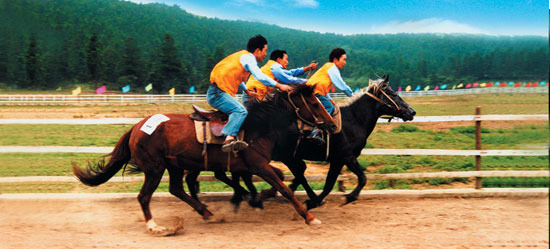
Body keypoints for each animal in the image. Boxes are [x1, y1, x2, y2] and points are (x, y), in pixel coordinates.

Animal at [71, 85, 338, 235]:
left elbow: (278, 181)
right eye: (313, 102)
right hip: (155, 168)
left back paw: (208, 213)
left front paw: (256, 199)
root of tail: (137, 127)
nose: (332, 124)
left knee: (176, 189)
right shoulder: (258, 165)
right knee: (145, 196)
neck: (257, 126)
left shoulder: (253, 165)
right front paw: (309, 217)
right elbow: (284, 188)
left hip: (174, 166)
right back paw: (155, 226)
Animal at [276, 75, 418, 209]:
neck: (353, 120)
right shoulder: (346, 157)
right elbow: (361, 178)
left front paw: (314, 202)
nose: (412, 111)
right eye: (393, 94)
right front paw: (349, 197)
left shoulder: (338, 160)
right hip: (286, 156)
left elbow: (330, 184)